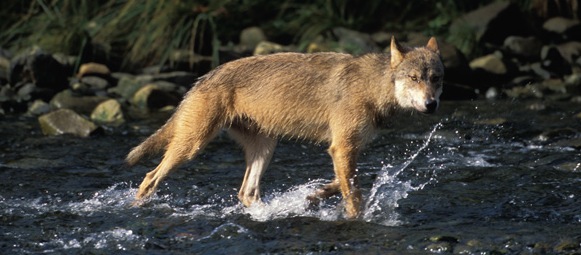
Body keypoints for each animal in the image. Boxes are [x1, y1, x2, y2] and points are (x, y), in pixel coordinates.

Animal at [128, 36, 444, 218]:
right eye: (414, 78)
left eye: (435, 78)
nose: (431, 105)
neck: (373, 87)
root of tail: (202, 78)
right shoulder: (342, 148)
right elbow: (354, 196)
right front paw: (356, 218)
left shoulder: (346, 150)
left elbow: (349, 181)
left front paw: (315, 195)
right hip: (192, 146)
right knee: (150, 178)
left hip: (266, 148)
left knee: (246, 193)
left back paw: (270, 213)